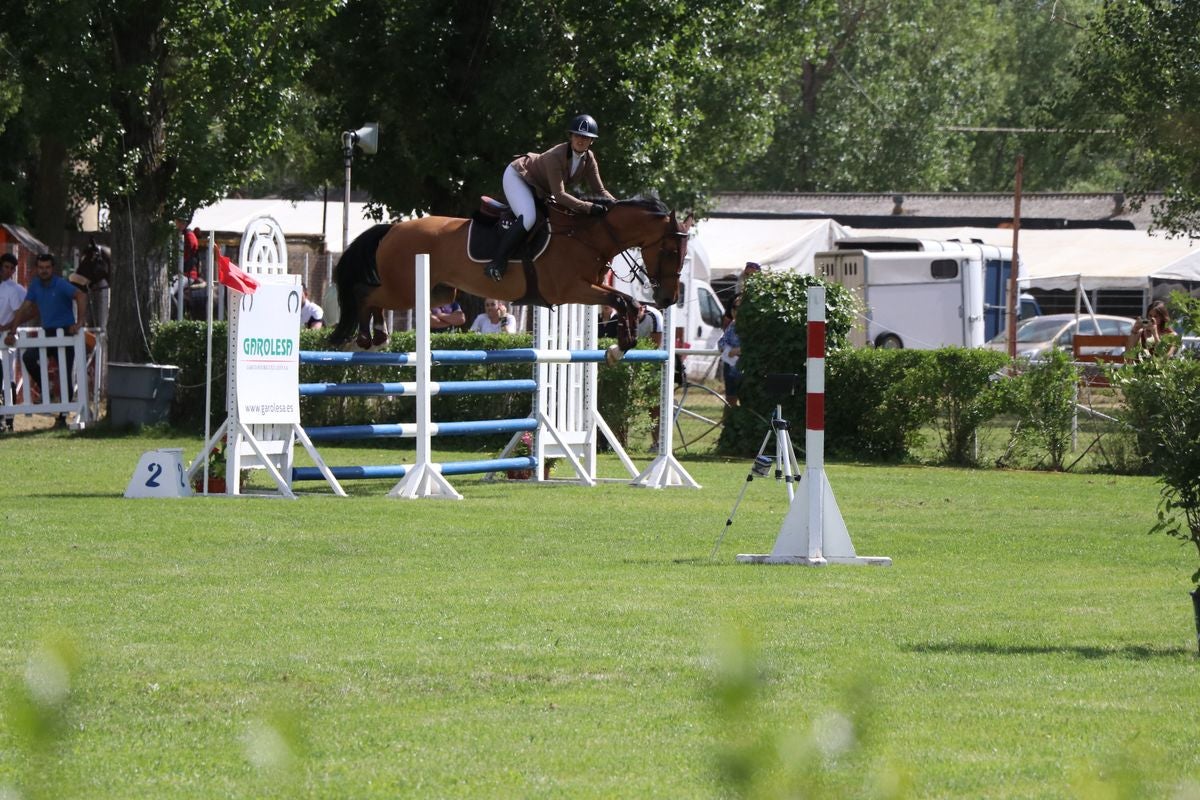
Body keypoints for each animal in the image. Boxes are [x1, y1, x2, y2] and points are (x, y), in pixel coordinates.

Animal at [331, 196, 686, 362]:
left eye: (683, 254)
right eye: (670, 251)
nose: (668, 299)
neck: (589, 235)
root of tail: (393, 228)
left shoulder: (591, 287)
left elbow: (629, 303)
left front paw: (620, 346)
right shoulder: (572, 289)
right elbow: (623, 300)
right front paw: (618, 348)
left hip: (438, 293)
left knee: (375, 299)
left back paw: (378, 336)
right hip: (406, 288)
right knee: (366, 294)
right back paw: (365, 338)